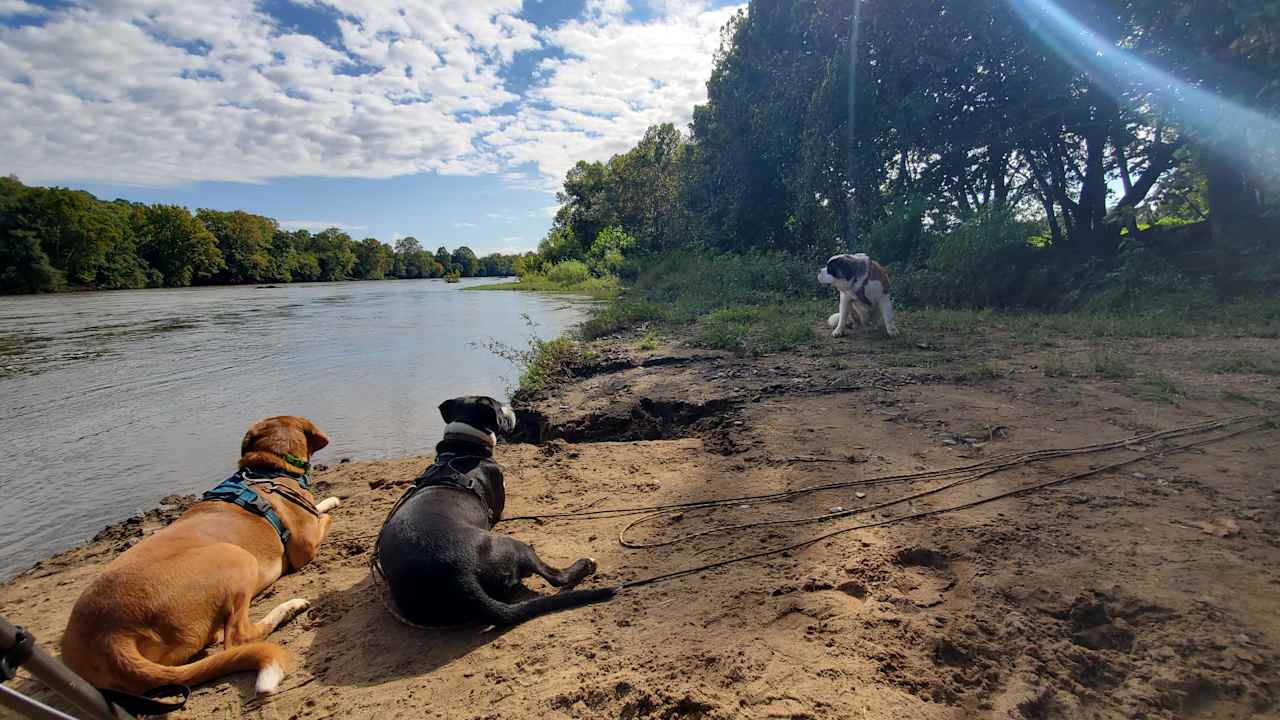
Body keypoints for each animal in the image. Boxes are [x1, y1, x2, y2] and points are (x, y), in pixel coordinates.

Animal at [61, 415, 340, 696]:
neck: (268, 469)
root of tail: (109, 637)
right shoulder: (305, 547)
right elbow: (323, 519)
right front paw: (329, 508)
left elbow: (320, 507)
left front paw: (329, 501)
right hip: (236, 556)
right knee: (237, 638)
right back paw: (289, 608)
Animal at [371, 394, 614, 625]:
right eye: (499, 407)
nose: (513, 409)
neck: (462, 448)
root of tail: (462, 577)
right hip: (514, 546)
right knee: (555, 577)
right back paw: (586, 564)